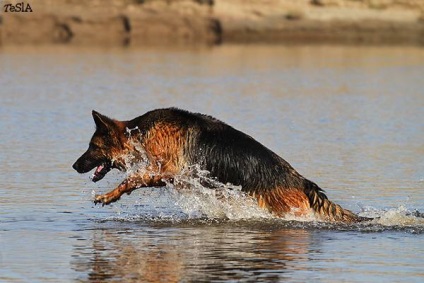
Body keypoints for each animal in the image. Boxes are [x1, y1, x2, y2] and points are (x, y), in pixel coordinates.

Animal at [73, 107, 368, 223]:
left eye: (92, 147)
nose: (75, 166)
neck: (139, 133)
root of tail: (302, 181)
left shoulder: (167, 170)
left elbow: (130, 180)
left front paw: (108, 196)